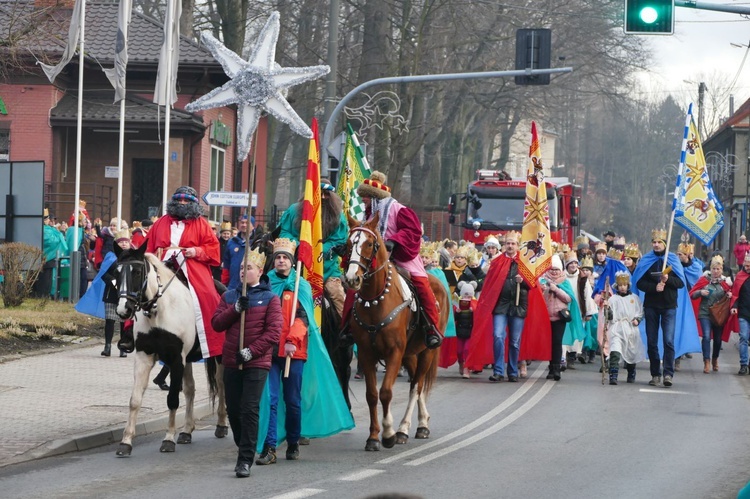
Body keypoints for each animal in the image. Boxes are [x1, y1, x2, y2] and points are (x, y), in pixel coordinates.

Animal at [111, 244, 228, 458]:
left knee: (221, 384)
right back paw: (187, 430)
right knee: (190, 389)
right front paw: (126, 442)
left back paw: (221, 425)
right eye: (116, 272)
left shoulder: (175, 358)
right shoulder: (144, 357)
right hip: (187, 359)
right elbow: (135, 400)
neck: (159, 310)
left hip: (218, 356)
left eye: (137, 271)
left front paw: (168, 439)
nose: (124, 310)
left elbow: (173, 399)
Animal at [344, 213, 450, 452]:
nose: (352, 279)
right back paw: (421, 422)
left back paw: (404, 429)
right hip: (410, 353)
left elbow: (386, 392)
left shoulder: (394, 352)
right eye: (348, 244)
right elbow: (372, 395)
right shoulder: (366, 354)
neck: (375, 301)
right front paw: (373, 437)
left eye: (370, 244)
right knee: (414, 383)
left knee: (416, 386)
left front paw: (388, 434)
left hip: (426, 351)